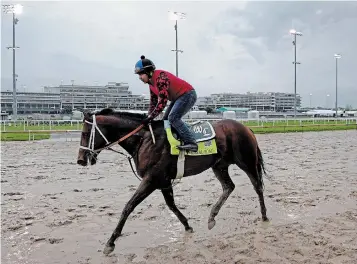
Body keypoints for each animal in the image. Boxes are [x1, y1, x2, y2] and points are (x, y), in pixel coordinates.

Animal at [76, 108, 268, 256]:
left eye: (85, 133)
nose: (80, 160)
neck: (144, 140)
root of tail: (246, 128)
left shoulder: (151, 179)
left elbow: (129, 206)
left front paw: (110, 243)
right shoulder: (164, 181)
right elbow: (171, 205)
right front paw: (187, 226)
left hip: (247, 162)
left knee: (257, 186)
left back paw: (264, 216)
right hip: (219, 165)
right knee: (229, 186)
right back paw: (212, 217)